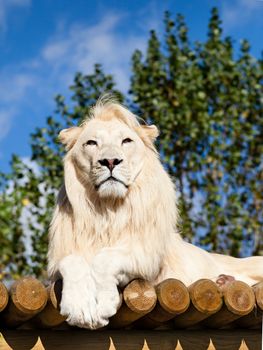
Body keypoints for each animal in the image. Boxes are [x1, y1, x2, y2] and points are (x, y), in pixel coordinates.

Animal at [48, 95, 263, 328]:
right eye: (91, 143)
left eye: (126, 141)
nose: (110, 161)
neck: (109, 210)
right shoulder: (62, 257)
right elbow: (72, 261)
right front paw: (79, 307)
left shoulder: (148, 256)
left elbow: (105, 259)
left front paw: (103, 303)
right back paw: (223, 281)